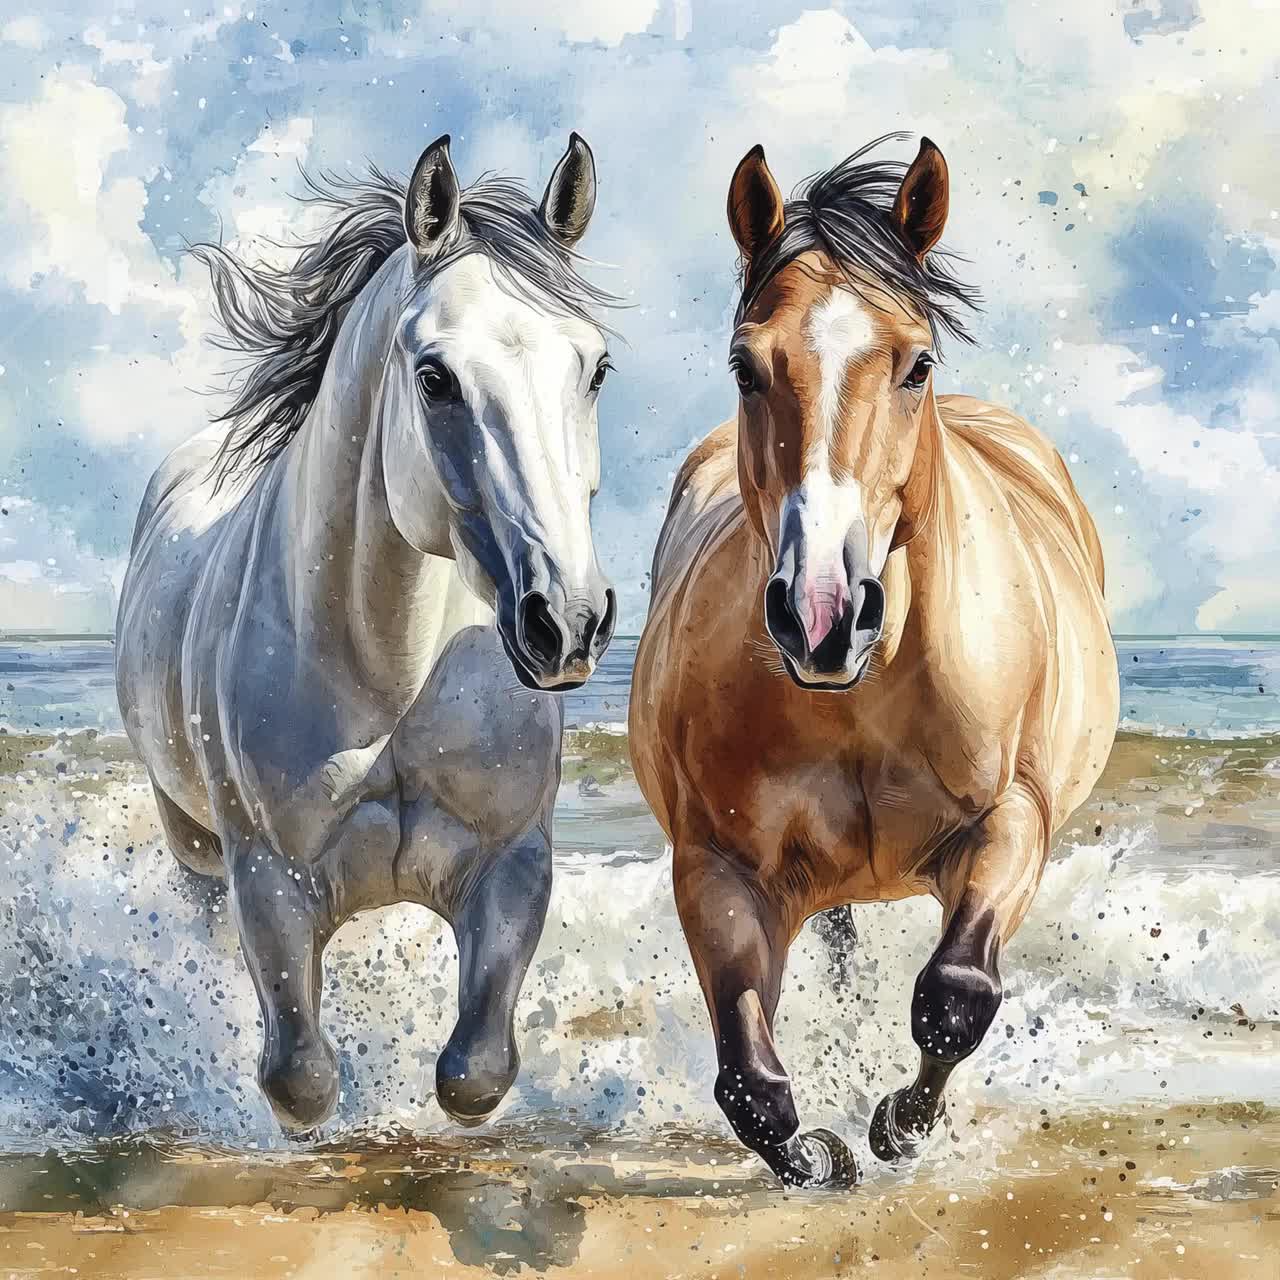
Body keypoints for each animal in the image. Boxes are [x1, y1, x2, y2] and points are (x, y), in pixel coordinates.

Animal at [116, 133, 617, 1132]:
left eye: (596, 369)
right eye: (435, 378)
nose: (567, 621)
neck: (392, 670)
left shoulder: (512, 863)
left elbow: (473, 1071)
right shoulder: (267, 881)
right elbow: (300, 1079)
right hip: (191, 845)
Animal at [629, 134, 1118, 1188]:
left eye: (916, 363)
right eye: (745, 366)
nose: (823, 616)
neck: (863, 695)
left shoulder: (1010, 823)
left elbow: (957, 994)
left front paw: (898, 1125)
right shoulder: (717, 867)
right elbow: (749, 1081)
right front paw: (822, 1156)